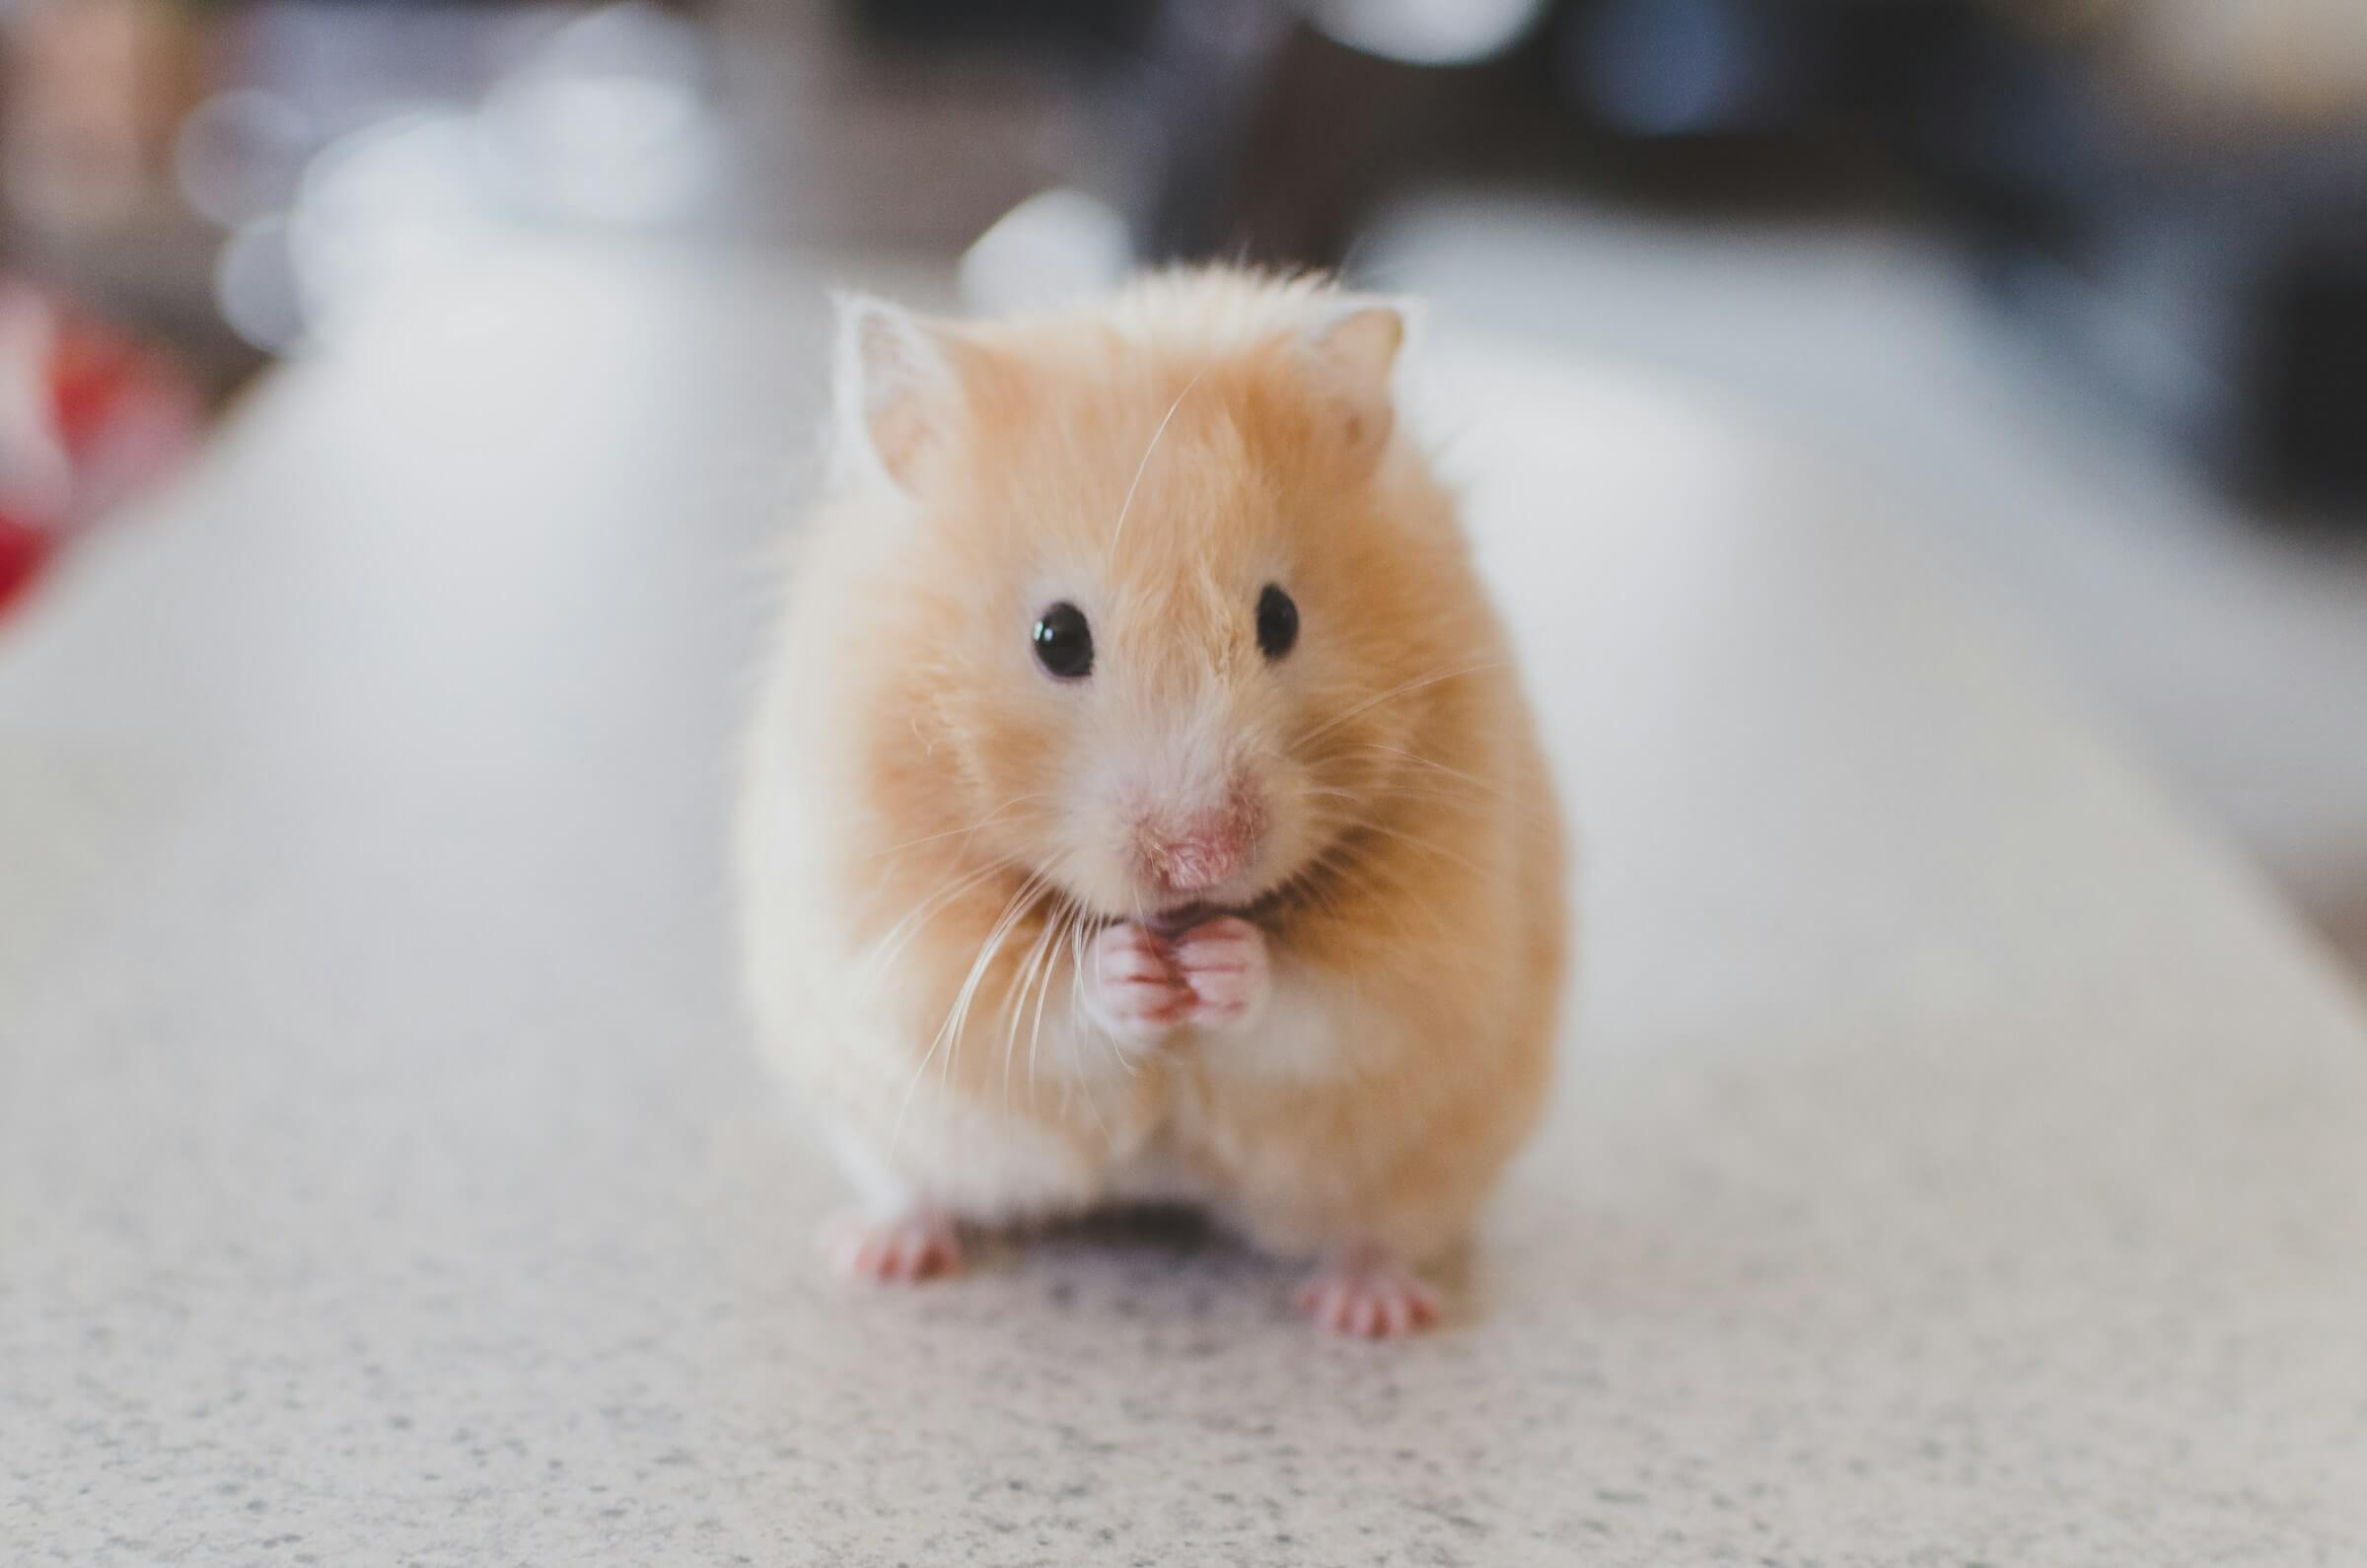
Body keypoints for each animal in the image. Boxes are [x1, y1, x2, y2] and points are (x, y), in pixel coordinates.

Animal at [729, 267, 1562, 1335]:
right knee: (915, 1186)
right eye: (1057, 637)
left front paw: (1219, 964)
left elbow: (1327, 1002)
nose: (1203, 860)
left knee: (1382, 1229)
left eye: (1280, 618)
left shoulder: (1438, 943)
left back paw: (1366, 1310)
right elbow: (1032, 1009)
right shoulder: (895, 933)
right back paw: (879, 1251)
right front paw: (1132, 971)